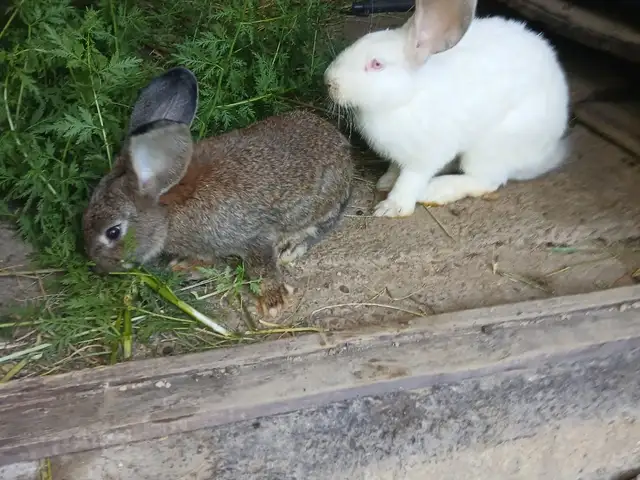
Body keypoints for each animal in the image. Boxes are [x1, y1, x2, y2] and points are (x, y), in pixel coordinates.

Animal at [83, 67, 354, 317]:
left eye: (113, 232)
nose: (96, 264)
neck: (168, 212)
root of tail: (342, 146)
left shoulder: (252, 237)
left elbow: (262, 268)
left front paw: (273, 301)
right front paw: (184, 265)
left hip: (319, 203)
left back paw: (291, 248)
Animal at [324, 0, 570, 218]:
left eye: (377, 64)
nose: (329, 81)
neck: (407, 98)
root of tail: (546, 153)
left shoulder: (425, 157)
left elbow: (409, 180)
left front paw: (392, 208)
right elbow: (396, 169)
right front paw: (386, 181)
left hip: (490, 147)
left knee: (485, 181)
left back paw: (434, 190)